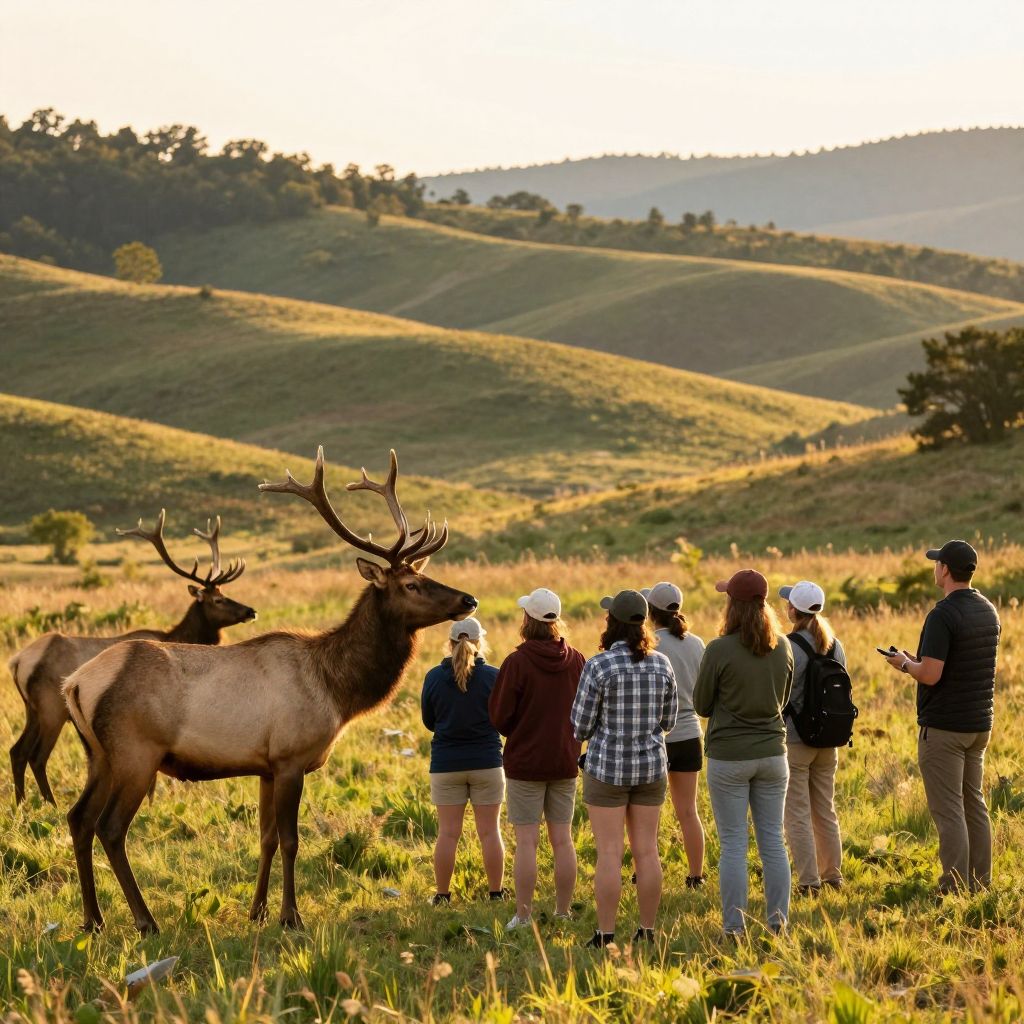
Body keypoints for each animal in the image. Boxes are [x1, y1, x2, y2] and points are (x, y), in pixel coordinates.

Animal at [8, 512, 255, 807]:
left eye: (225, 594)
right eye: (217, 600)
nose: (250, 611)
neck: (179, 636)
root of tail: (18, 661)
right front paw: (150, 803)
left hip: (31, 709)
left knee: (17, 750)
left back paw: (22, 802)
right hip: (51, 708)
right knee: (37, 755)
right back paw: (50, 803)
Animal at [63, 446, 477, 935]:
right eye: (411, 584)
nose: (468, 599)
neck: (337, 691)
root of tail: (76, 683)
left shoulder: (264, 766)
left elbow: (265, 839)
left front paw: (257, 910)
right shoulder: (290, 757)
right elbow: (291, 839)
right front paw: (290, 915)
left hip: (99, 755)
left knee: (78, 817)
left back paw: (93, 920)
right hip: (135, 752)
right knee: (110, 827)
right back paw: (145, 921)